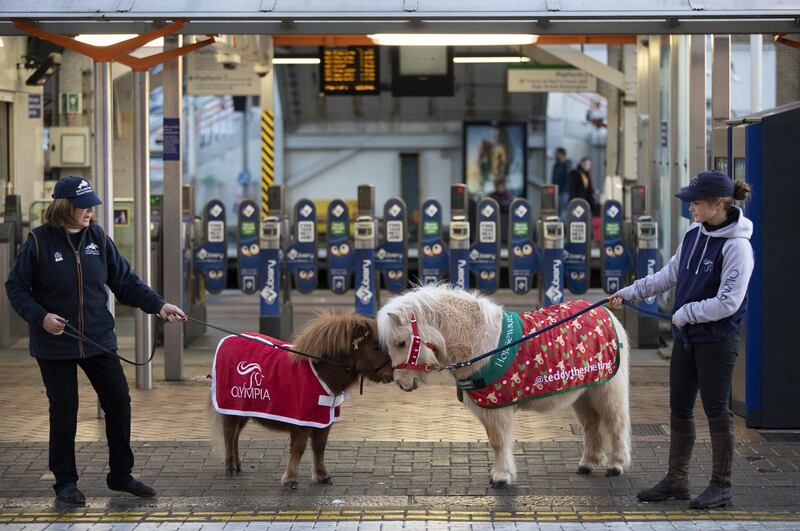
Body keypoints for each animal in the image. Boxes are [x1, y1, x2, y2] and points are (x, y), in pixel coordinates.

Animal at [209, 312, 390, 490]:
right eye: (375, 347)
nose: (391, 374)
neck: (320, 372)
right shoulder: (301, 423)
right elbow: (298, 448)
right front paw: (291, 479)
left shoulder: (323, 422)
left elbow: (319, 447)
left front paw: (322, 475)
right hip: (231, 409)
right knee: (229, 434)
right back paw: (230, 466)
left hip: (241, 410)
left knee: (235, 436)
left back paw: (237, 464)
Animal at [376, 284, 632, 488]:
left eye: (401, 343)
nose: (401, 383)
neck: (479, 342)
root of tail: (605, 311)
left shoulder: (497, 409)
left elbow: (499, 442)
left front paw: (501, 477)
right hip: (583, 392)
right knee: (591, 425)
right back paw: (588, 463)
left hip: (607, 391)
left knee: (615, 423)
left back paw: (616, 465)